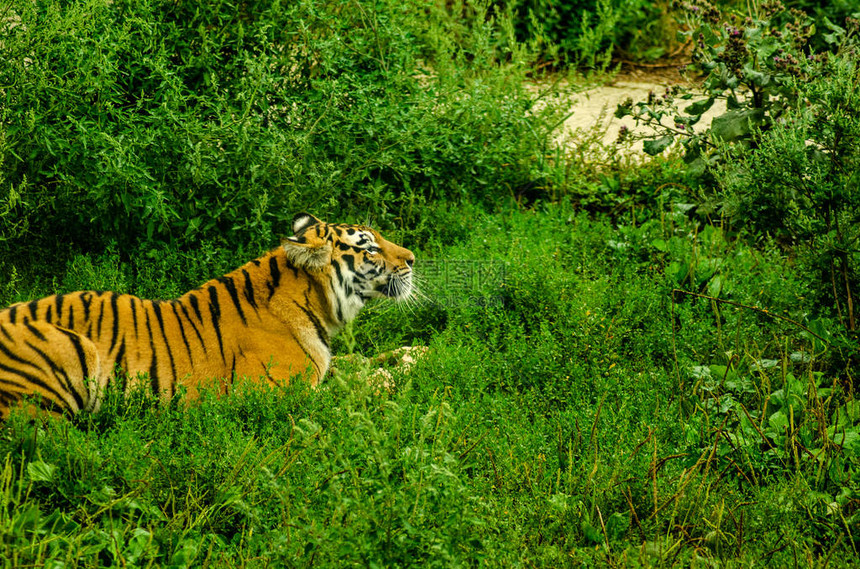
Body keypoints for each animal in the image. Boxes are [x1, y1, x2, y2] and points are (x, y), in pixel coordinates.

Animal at [0, 213, 416, 418]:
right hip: (69, 352)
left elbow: (356, 361)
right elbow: (353, 386)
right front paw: (391, 378)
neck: (316, 306)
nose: (412, 259)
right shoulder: (273, 394)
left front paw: (412, 355)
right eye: (370, 248)